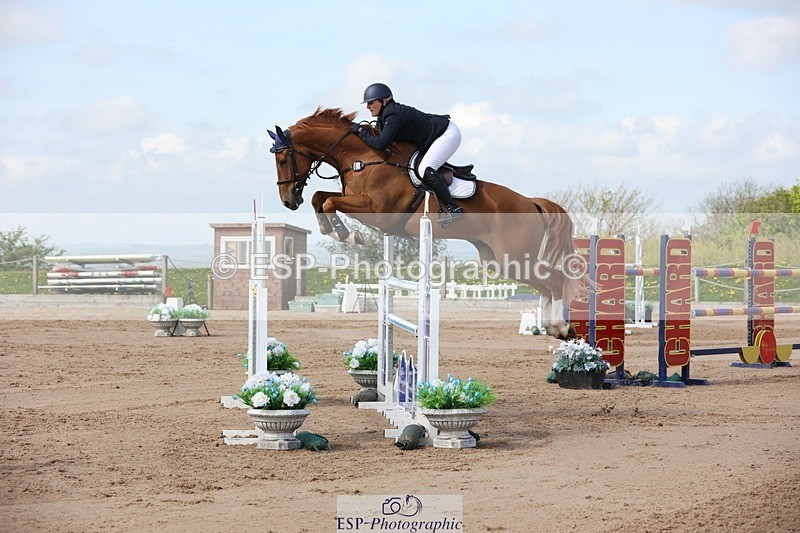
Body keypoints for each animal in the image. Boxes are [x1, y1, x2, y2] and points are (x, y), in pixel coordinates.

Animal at [268, 108, 581, 339]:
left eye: (283, 159)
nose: (288, 200)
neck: (363, 158)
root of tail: (531, 202)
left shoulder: (377, 211)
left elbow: (329, 202)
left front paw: (348, 235)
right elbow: (320, 198)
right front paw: (334, 230)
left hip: (513, 255)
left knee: (555, 280)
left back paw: (560, 326)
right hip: (499, 261)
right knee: (545, 284)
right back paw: (553, 327)